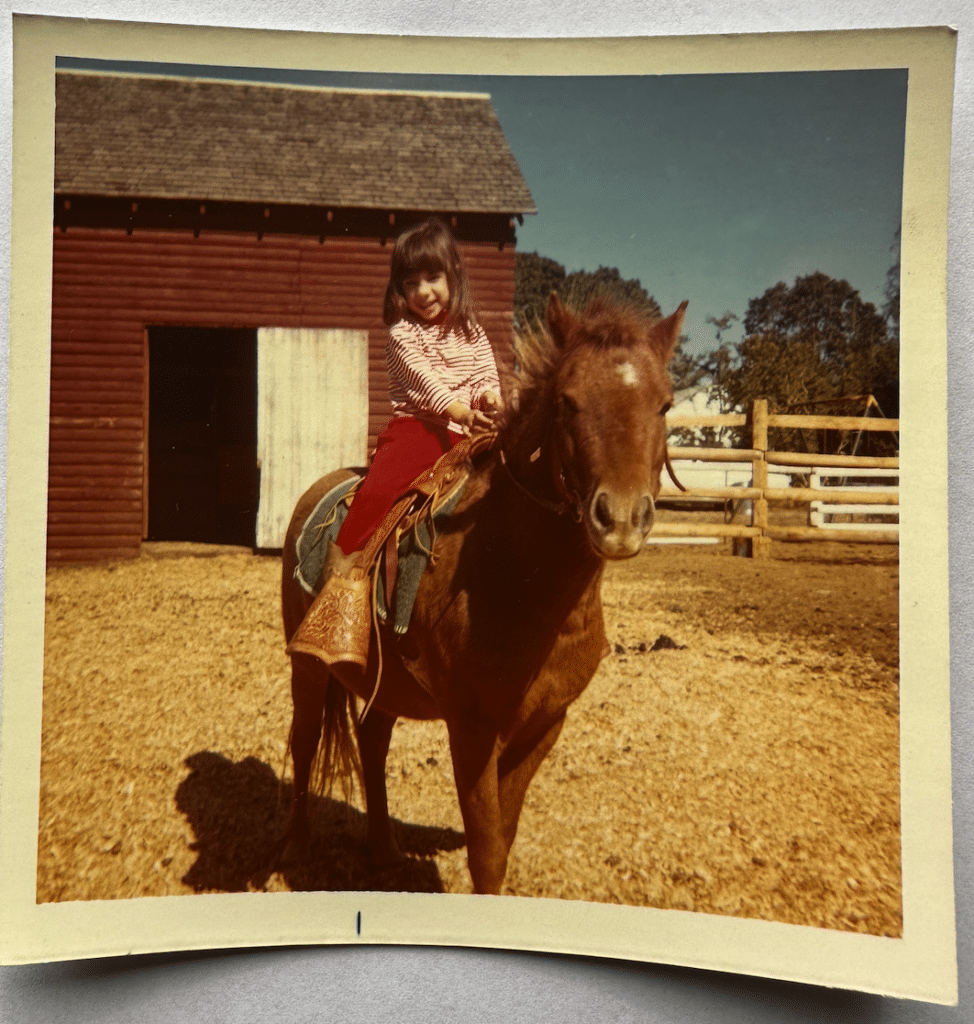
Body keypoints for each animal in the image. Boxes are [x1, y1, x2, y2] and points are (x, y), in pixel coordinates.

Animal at [278, 292, 688, 892]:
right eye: (567, 401)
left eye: (664, 405)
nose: (620, 519)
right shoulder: (472, 732)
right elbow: (487, 850)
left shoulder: (543, 727)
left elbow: (505, 836)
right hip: (306, 667)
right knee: (305, 740)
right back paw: (297, 847)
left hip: (386, 685)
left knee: (372, 744)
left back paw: (384, 851)